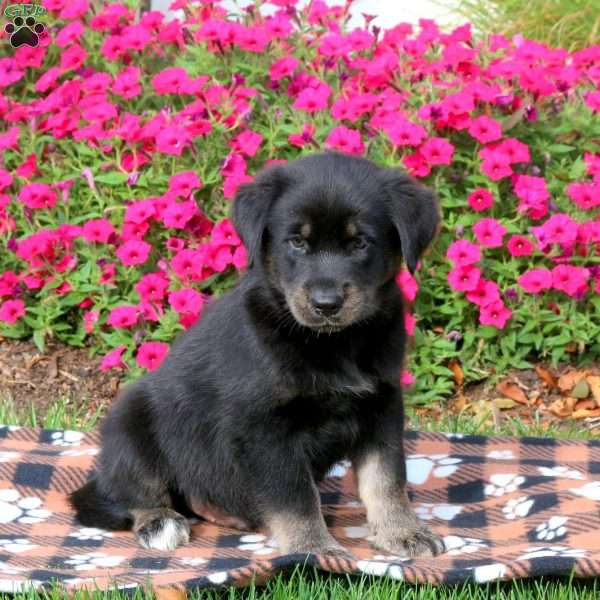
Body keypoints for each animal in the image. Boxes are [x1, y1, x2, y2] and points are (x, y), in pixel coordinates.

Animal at [71, 151, 446, 556]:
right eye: (296, 242)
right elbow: (295, 495)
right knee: (130, 492)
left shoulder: (382, 405)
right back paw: (159, 522)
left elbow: (386, 478)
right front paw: (314, 548)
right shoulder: (265, 426)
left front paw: (403, 532)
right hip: (130, 420)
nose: (326, 303)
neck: (330, 342)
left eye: (360, 243)